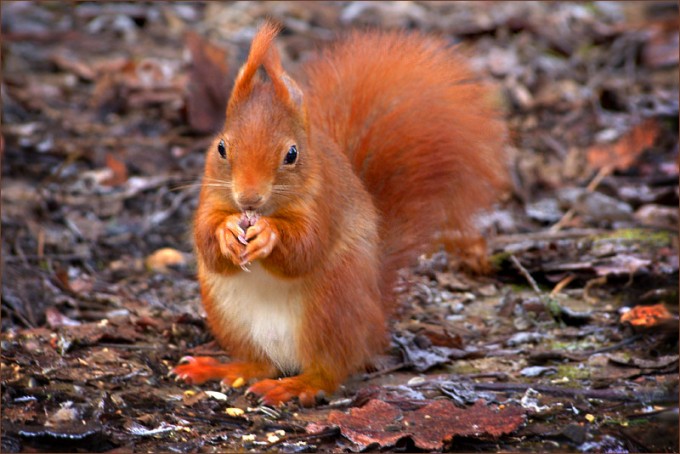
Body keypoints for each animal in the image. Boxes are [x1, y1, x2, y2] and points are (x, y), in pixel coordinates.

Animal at [172, 22, 508, 406]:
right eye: (221, 148)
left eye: (292, 154)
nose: (248, 198)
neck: (269, 208)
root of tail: (374, 325)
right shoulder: (209, 196)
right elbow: (206, 239)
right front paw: (227, 231)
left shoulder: (324, 203)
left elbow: (306, 247)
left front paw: (269, 234)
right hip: (227, 313)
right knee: (261, 363)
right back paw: (223, 368)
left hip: (332, 306)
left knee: (329, 370)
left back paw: (298, 385)